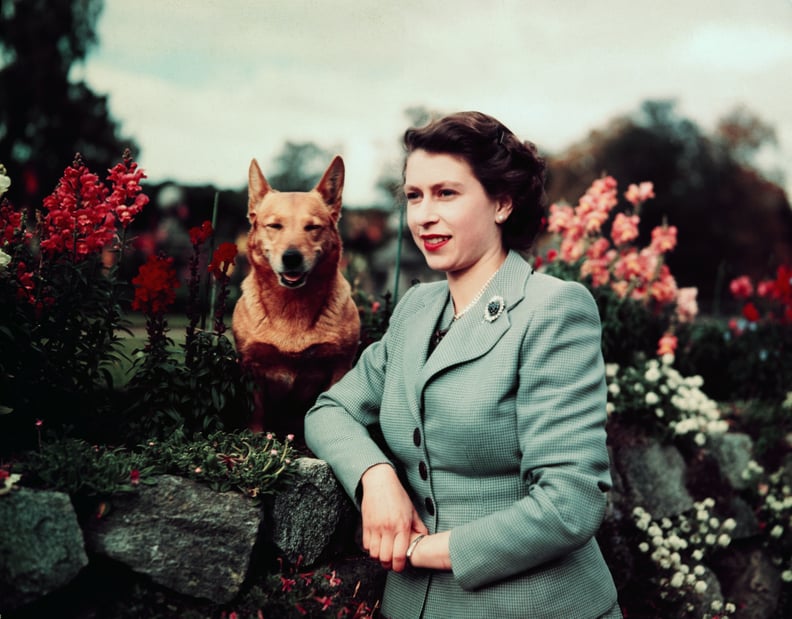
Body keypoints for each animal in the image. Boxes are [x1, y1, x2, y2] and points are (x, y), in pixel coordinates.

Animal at [230, 157, 360, 438]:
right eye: (274, 226)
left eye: (312, 227)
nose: (291, 258)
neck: (292, 306)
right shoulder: (252, 366)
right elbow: (256, 412)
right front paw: (255, 438)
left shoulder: (340, 366)